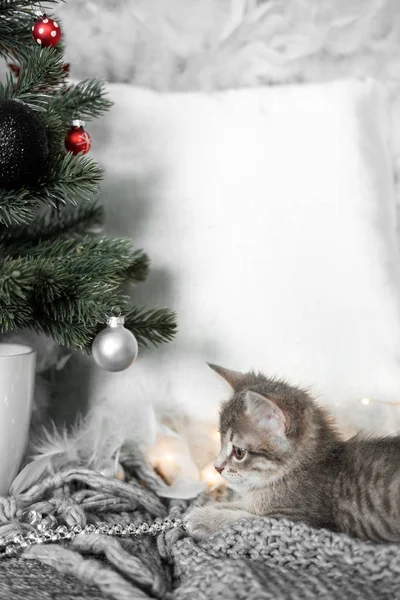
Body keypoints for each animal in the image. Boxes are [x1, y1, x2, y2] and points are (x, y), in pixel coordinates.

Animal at [186, 366, 400, 544]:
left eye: (239, 452)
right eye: (220, 441)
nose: (217, 467)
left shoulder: (305, 522)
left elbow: (248, 518)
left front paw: (205, 519)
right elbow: (241, 504)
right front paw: (207, 509)